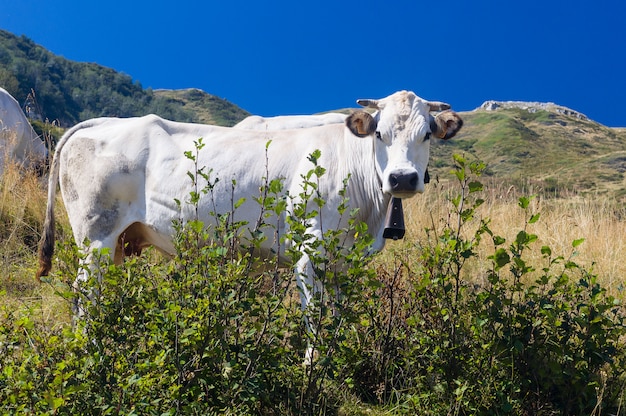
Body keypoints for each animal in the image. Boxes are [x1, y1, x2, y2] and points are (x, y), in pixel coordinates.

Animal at [36, 89, 460, 336]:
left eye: (426, 134)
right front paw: (312, 374)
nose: (402, 178)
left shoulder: (343, 262)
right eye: (379, 134)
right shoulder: (310, 252)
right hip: (95, 236)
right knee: (84, 297)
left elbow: (337, 319)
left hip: (120, 242)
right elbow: (315, 319)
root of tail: (102, 122)